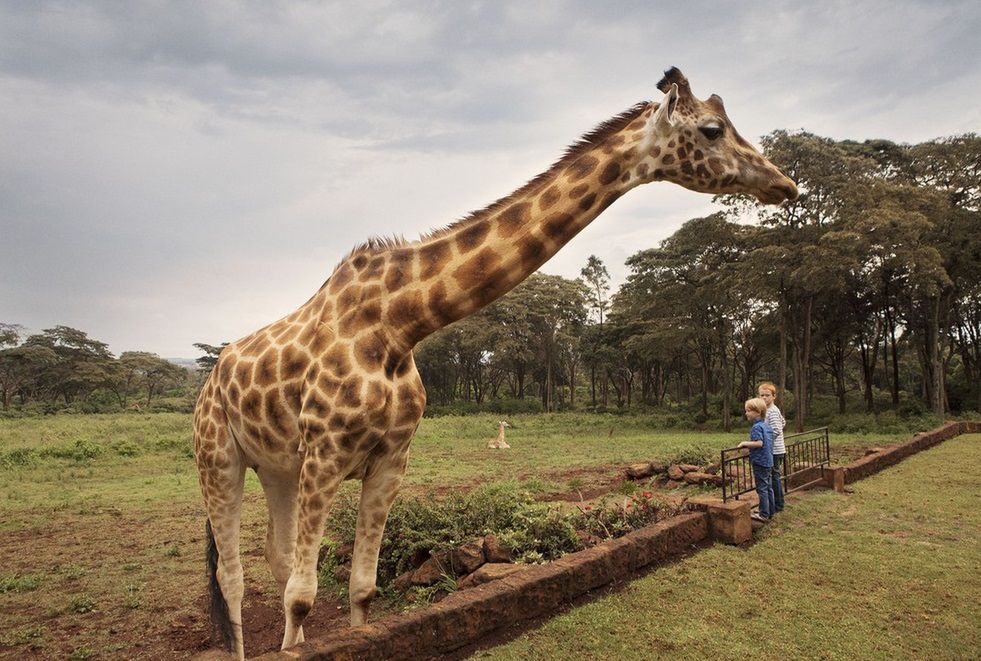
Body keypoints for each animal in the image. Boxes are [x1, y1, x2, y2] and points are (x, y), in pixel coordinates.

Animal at [193, 67, 796, 656]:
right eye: (713, 129)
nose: (784, 183)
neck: (399, 324)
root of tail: (210, 380)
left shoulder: (391, 458)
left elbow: (362, 589)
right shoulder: (325, 452)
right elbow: (302, 596)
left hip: (277, 465)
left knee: (274, 558)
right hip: (218, 457)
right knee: (233, 578)